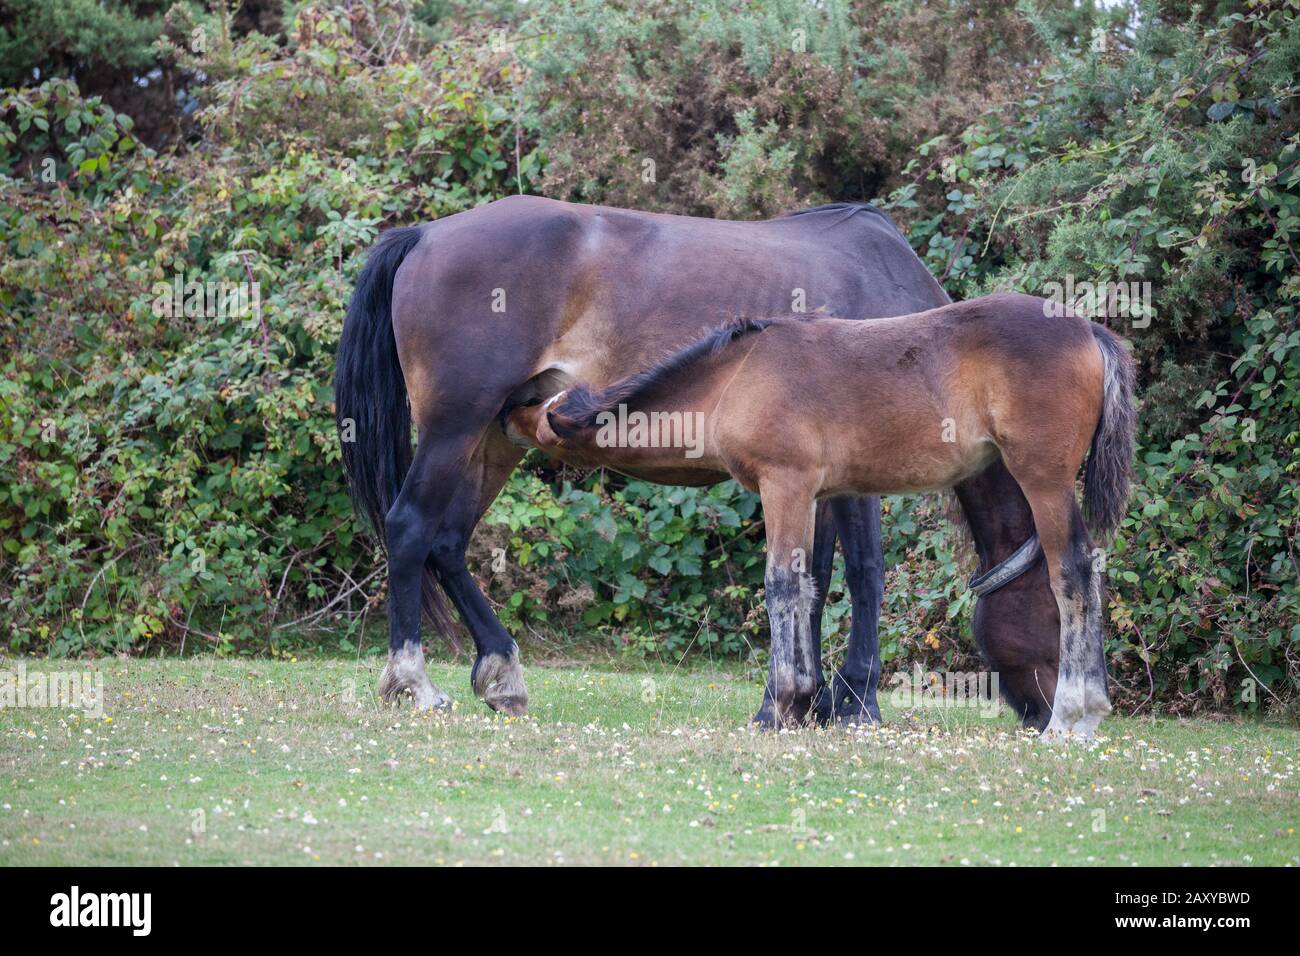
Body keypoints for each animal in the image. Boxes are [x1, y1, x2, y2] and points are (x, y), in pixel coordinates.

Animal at [335, 197, 1066, 728]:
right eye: (1058, 613)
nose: (1047, 712)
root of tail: (426, 235)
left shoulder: (814, 477)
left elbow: (815, 575)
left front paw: (810, 702)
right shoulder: (855, 475)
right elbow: (863, 575)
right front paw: (855, 702)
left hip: (494, 438)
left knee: (447, 541)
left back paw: (501, 676)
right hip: (455, 427)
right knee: (410, 529)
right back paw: (415, 683)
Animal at [506, 293, 1138, 738]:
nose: (502, 416)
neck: (736, 376)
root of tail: (1089, 329)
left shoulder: (784, 484)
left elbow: (781, 584)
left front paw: (779, 706)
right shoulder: (818, 495)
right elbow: (811, 586)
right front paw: (802, 703)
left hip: (1044, 477)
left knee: (1073, 573)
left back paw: (1073, 717)